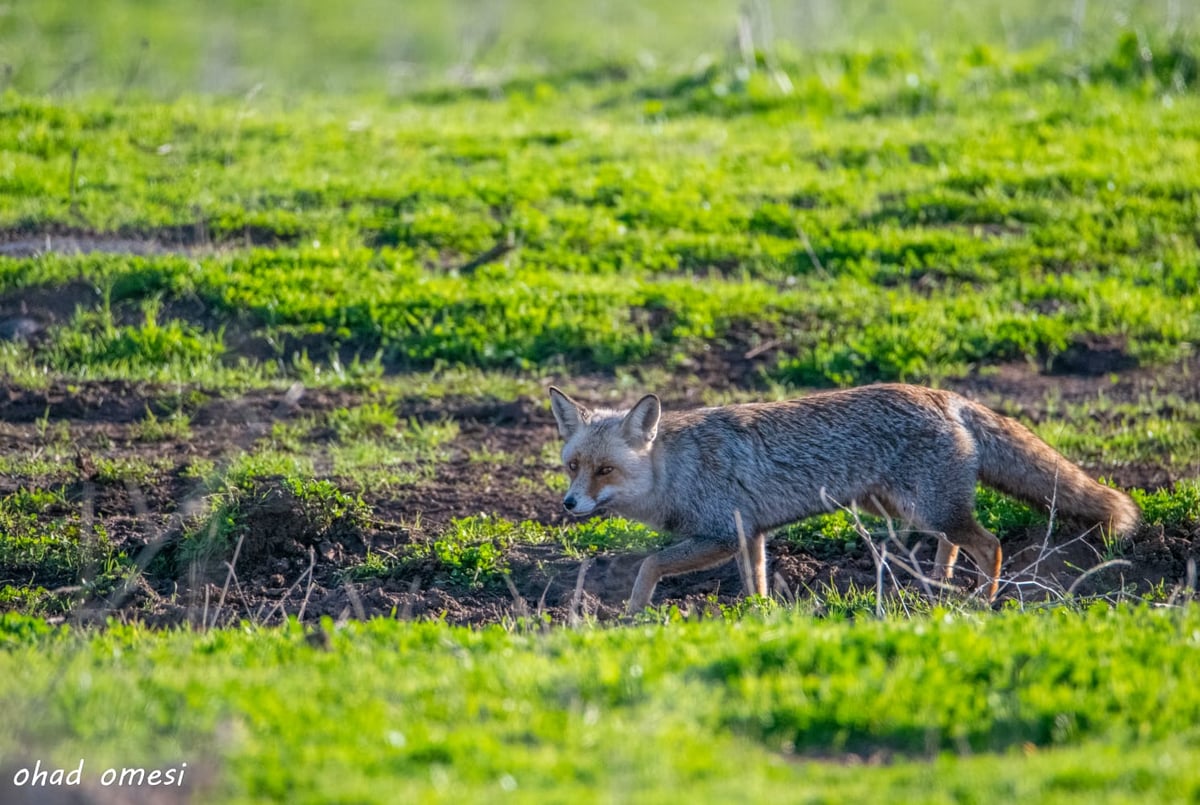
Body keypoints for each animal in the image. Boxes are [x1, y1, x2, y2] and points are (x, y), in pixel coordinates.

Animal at [549, 383, 1137, 611]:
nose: (570, 505)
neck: (674, 470)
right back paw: (937, 589)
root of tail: (942, 394)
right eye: (573, 467)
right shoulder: (749, 535)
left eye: (605, 470)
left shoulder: (718, 534)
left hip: (928, 508)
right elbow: (755, 581)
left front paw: (632, 612)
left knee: (989, 543)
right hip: (911, 509)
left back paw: (982, 601)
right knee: (955, 544)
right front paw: (758, 615)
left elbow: (650, 564)